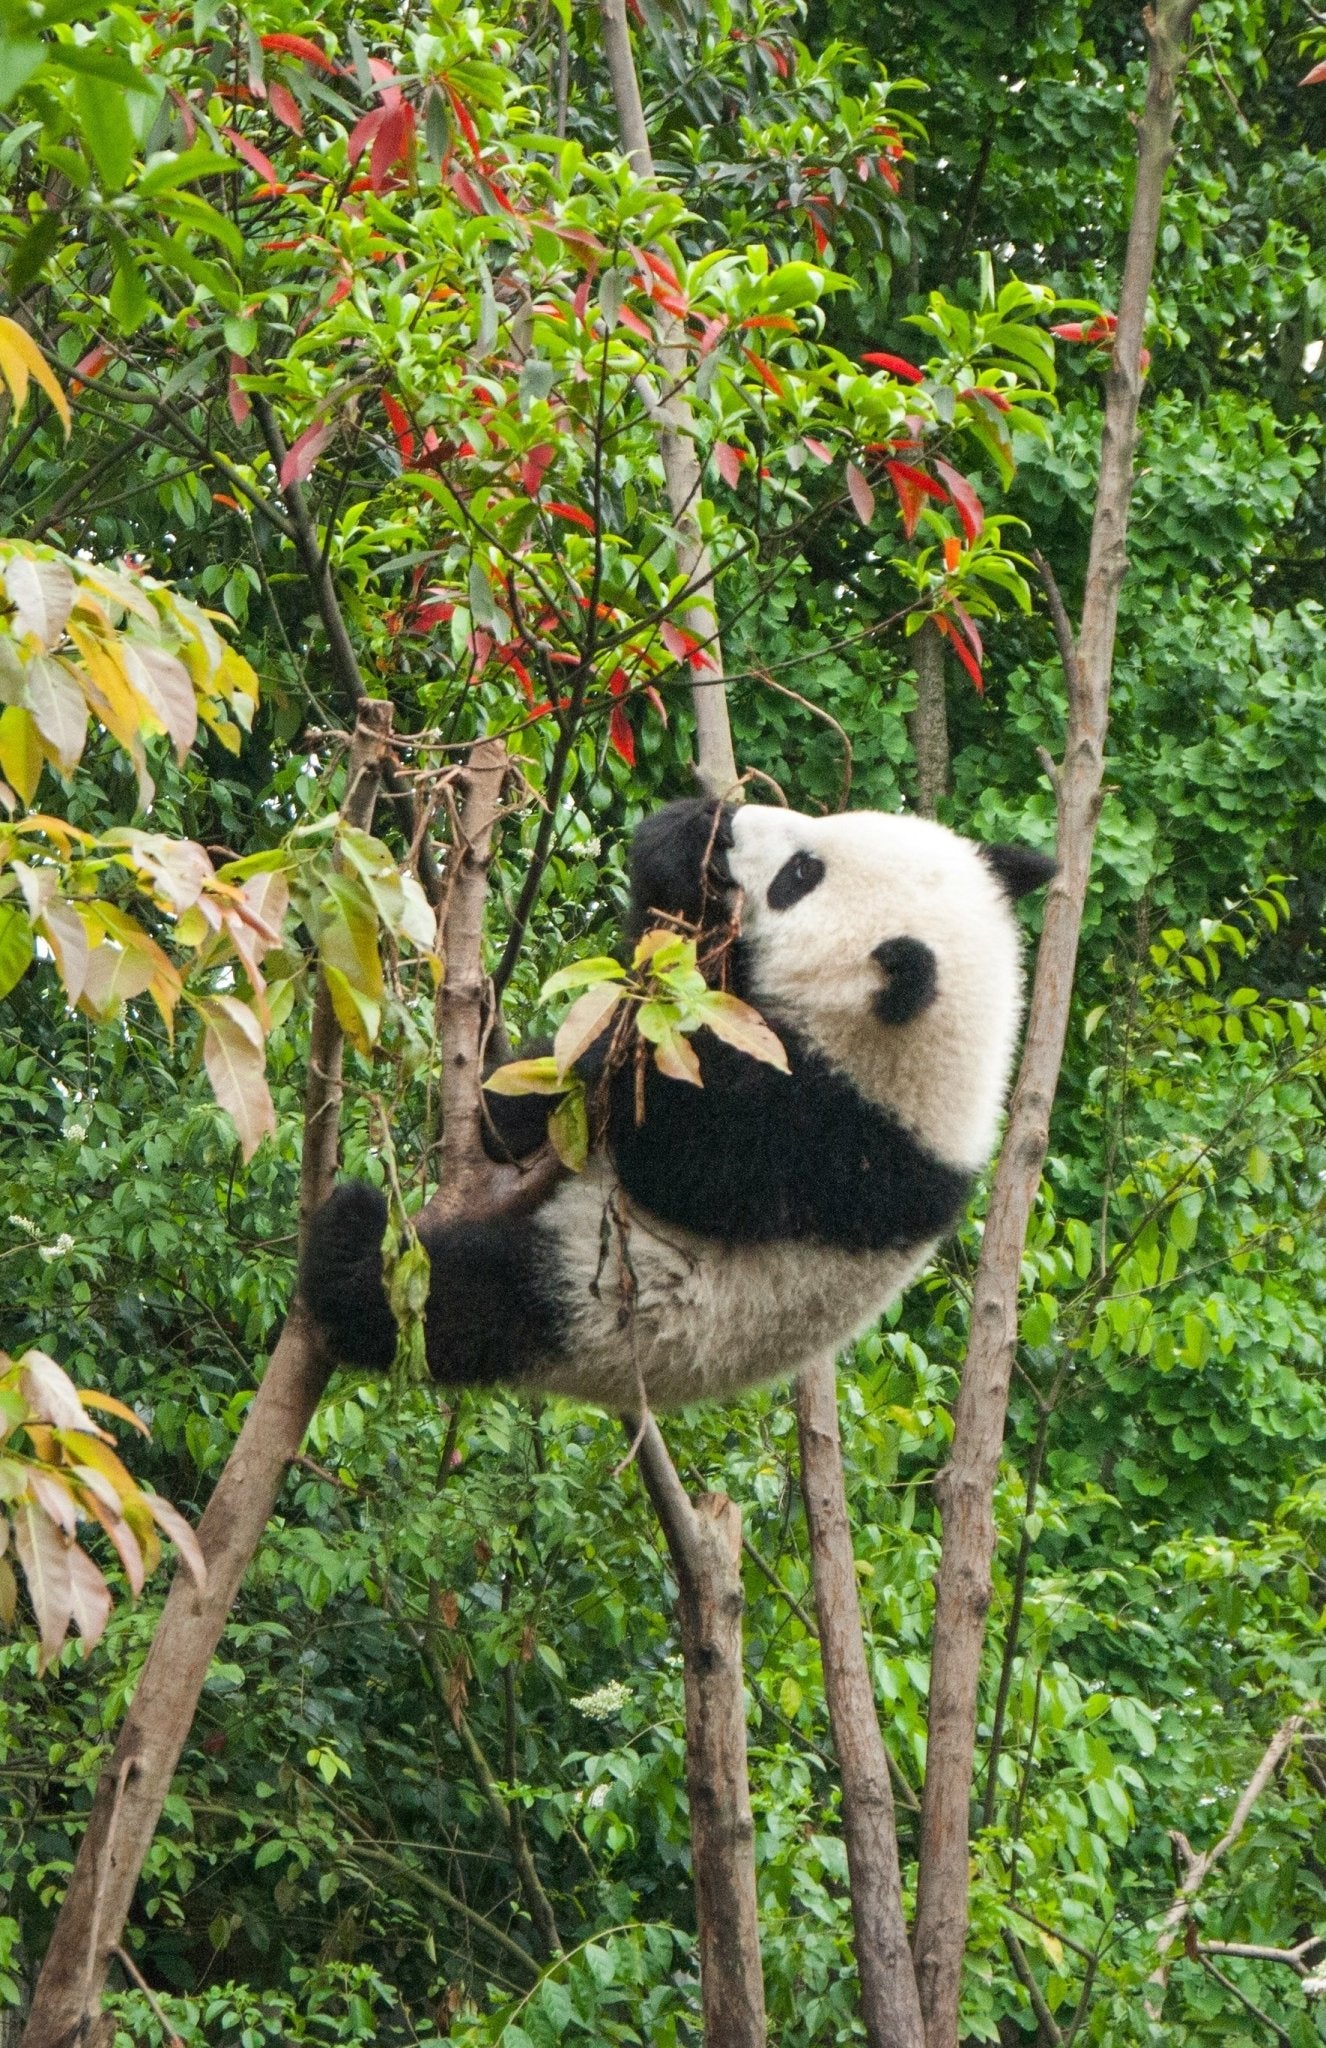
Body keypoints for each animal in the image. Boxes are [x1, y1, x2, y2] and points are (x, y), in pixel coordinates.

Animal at [295, 794, 1049, 1409]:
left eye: (800, 875)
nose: (736, 823)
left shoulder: (835, 1145)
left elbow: (681, 1157)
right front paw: (682, 839)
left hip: (599, 1305)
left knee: (459, 1301)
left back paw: (350, 1245)